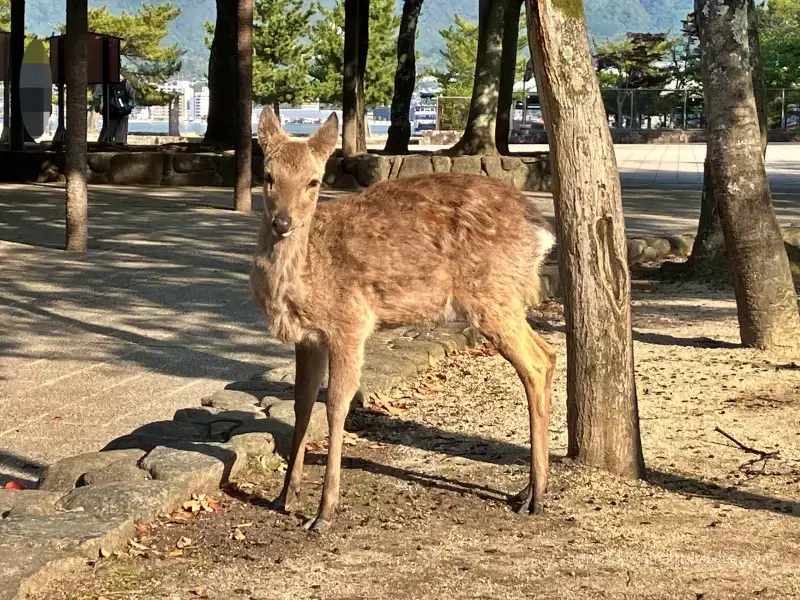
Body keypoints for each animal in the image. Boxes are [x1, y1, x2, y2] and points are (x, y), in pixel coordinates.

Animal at [250, 108, 556, 536]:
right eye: (267, 174)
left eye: (314, 180)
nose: (282, 222)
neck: (305, 275)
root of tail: (542, 232)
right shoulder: (308, 337)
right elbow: (302, 404)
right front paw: (284, 495)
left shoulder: (350, 322)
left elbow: (337, 405)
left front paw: (324, 512)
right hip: (507, 299)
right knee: (549, 353)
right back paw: (526, 490)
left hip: (492, 295)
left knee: (536, 362)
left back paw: (537, 496)